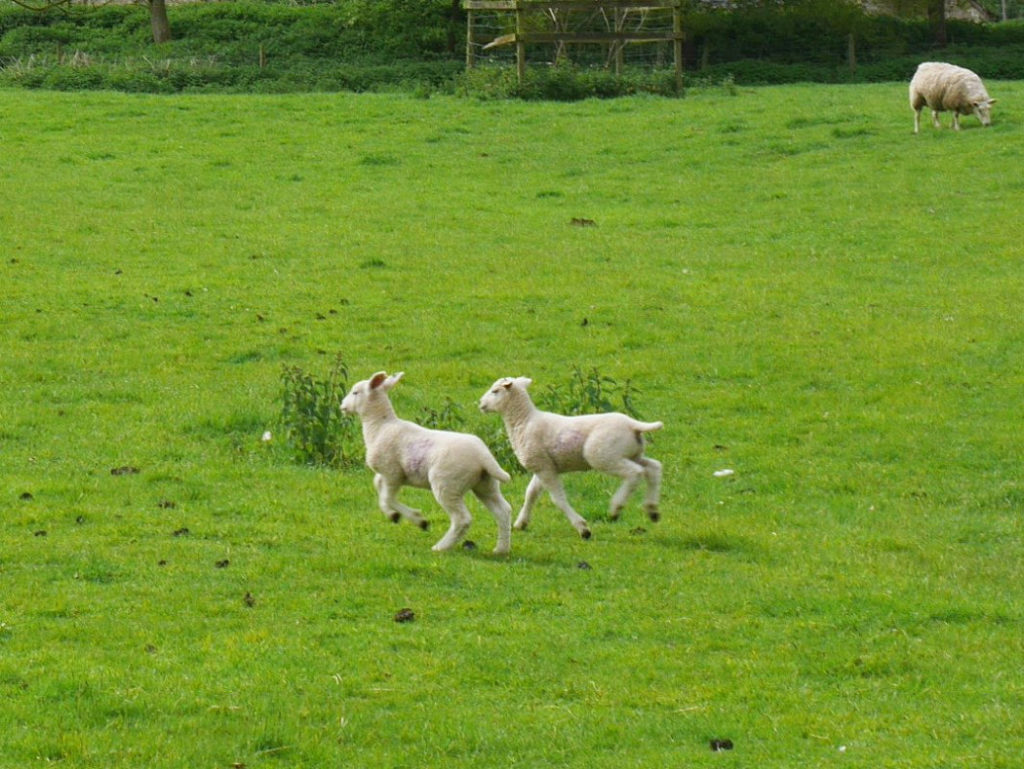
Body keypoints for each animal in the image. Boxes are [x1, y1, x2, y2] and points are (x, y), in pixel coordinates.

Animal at [340, 371, 512, 555]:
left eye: (355, 392)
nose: (342, 406)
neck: (380, 426)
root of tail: (483, 456)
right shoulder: (389, 474)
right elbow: (379, 488)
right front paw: (398, 516)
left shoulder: (392, 473)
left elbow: (387, 498)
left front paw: (413, 519)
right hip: (485, 483)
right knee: (503, 511)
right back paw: (501, 549)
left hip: (447, 484)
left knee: (462, 519)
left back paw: (441, 547)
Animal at [479, 376, 663, 540]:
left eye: (495, 391)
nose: (481, 404)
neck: (523, 421)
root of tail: (633, 425)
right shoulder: (543, 466)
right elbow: (530, 494)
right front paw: (520, 523)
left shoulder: (543, 467)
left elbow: (558, 499)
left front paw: (583, 529)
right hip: (630, 453)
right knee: (653, 467)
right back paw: (652, 510)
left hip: (603, 455)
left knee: (635, 473)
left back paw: (616, 509)